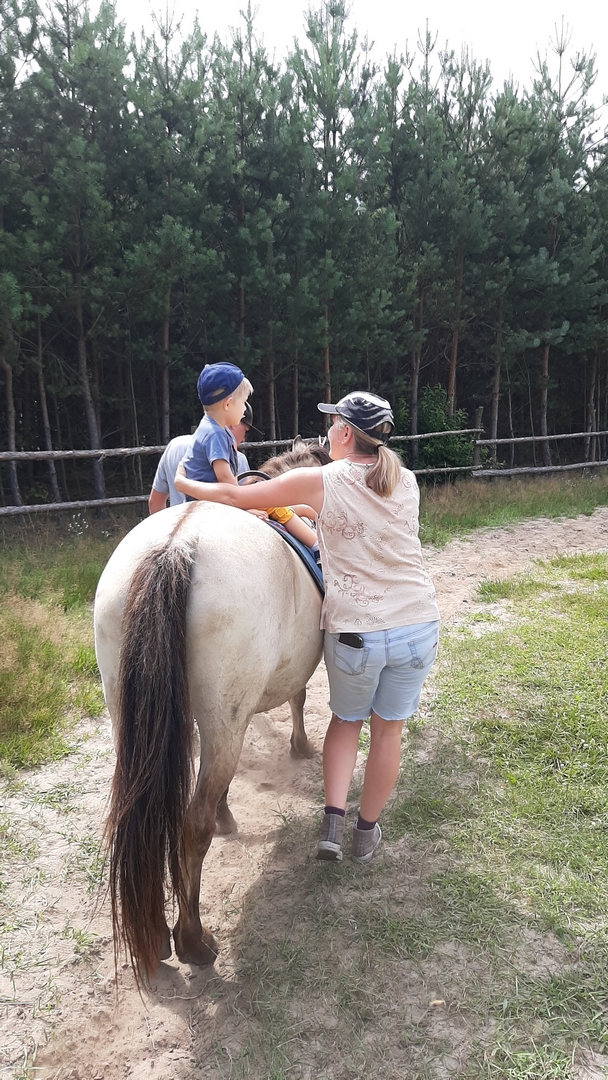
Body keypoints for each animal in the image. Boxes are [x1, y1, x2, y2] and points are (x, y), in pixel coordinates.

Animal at [94, 448, 326, 979]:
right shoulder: (247, 705)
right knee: (190, 825)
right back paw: (193, 941)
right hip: (223, 720)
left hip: (128, 716)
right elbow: (299, 698)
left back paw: (155, 936)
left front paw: (227, 811)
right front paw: (300, 747)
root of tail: (176, 547)